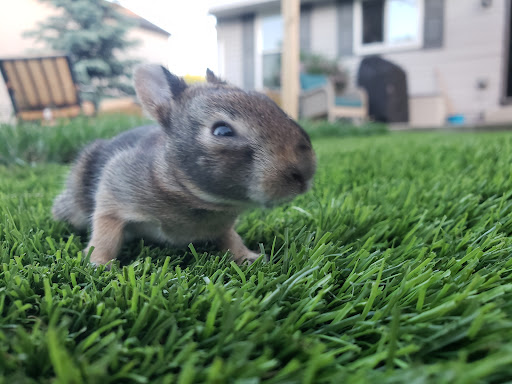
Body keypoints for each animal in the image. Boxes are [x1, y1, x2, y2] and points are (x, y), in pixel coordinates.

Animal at [52, 64, 316, 266]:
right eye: (222, 131)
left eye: (270, 103)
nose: (304, 173)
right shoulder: (112, 197)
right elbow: (106, 234)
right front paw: (99, 264)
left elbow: (231, 239)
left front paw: (248, 257)